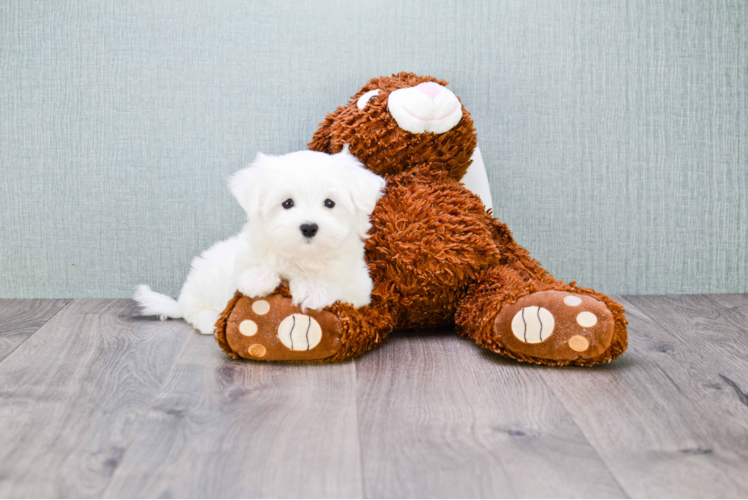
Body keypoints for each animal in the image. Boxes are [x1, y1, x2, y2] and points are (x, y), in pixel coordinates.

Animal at [132, 148, 386, 336]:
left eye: (330, 203)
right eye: (287, 203)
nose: (309, 227)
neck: (300, 256)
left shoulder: (358, 289)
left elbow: (335, 283)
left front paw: (312, 289)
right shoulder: (242, 259)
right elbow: (251, 266)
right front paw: (258, 279)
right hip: (205, 279)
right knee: (192, 309)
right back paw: (210, 319)